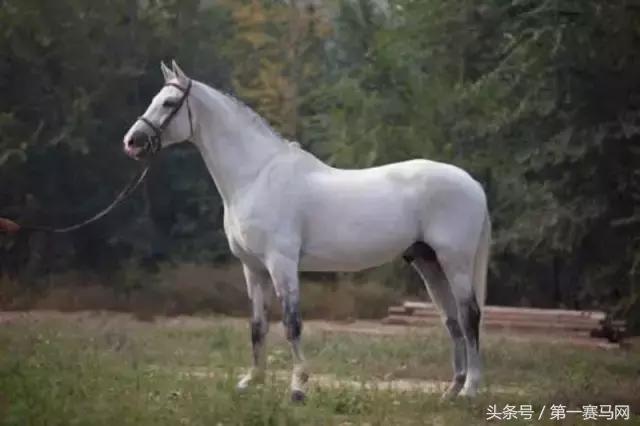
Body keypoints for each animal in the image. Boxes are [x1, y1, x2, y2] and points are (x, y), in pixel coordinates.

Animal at [123, 61, 491, 402]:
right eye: (155, 99)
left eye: (169, 102)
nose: (132, 142)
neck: (256, 175)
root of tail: (472, 184)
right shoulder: (253, 268)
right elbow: (257, 326)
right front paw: (251, 381)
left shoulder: (281, 263)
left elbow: (292, 323)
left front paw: (298, 388)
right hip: (428, 262)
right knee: (451, 320)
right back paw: (452, 389)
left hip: (454, 261)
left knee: (469, 315)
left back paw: (470, 390)